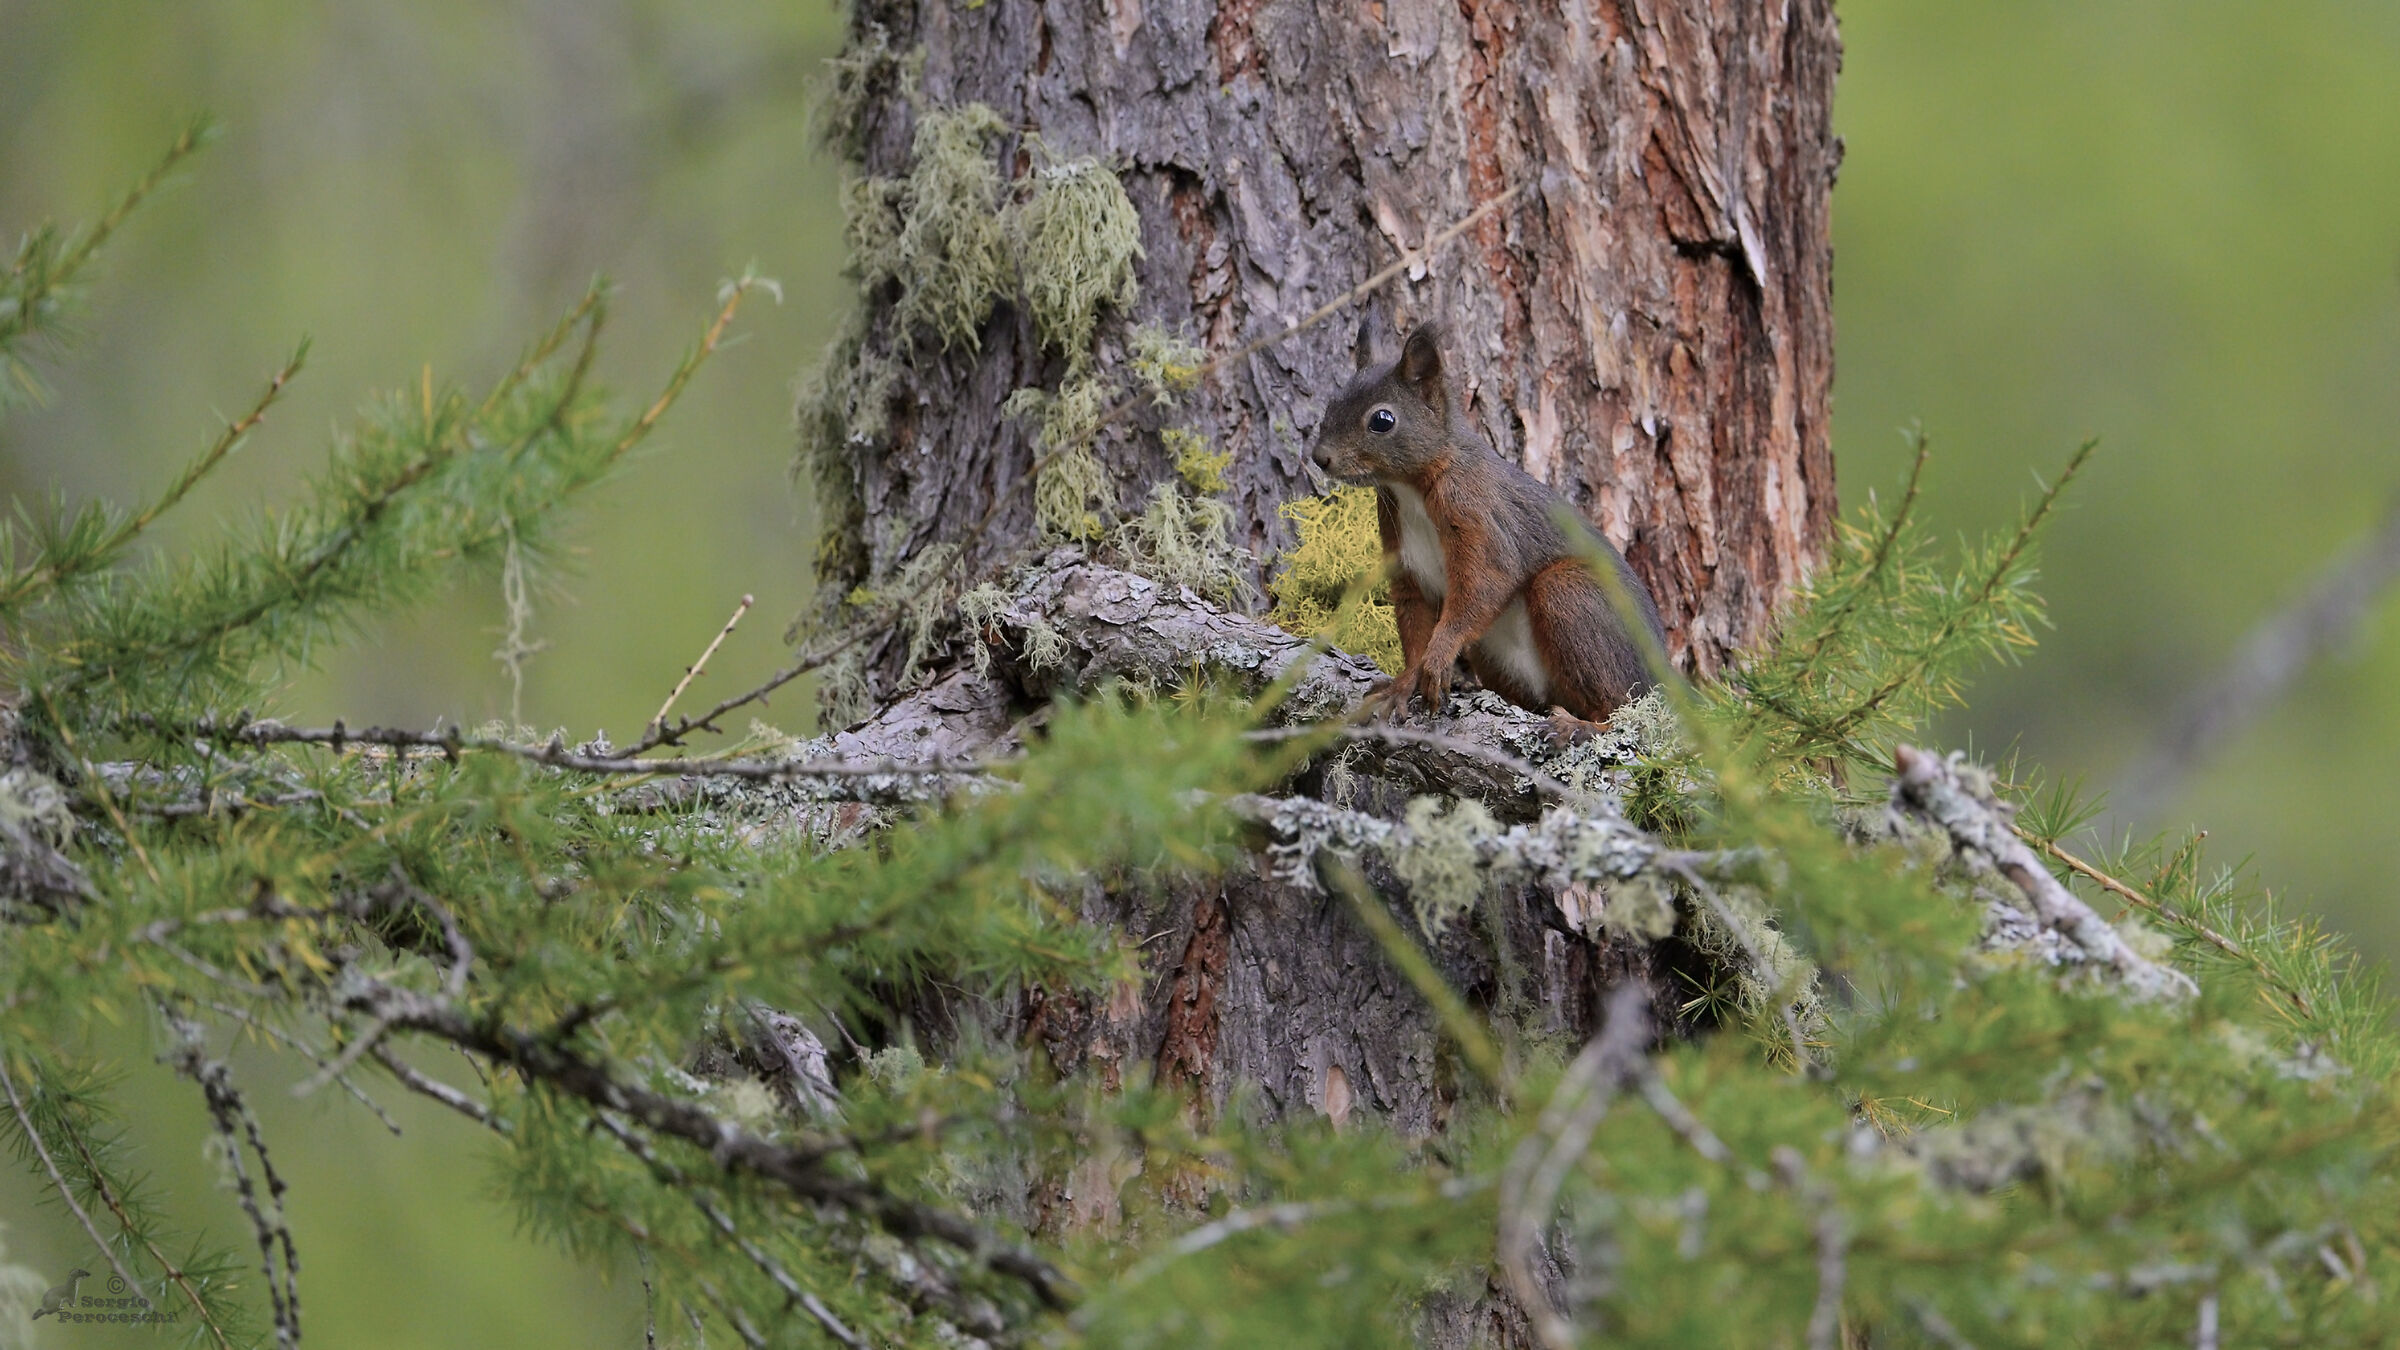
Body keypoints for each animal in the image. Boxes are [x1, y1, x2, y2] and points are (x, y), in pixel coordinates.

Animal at [1309, 320, 1667, 726]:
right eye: (1332, 403)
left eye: (1382, 420)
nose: (1320, 457)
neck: (1412, 488)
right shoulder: (1405, 560)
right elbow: (1415, 625)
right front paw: (1402, 685)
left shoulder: (1476, 510)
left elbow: (1485, 584)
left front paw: (1439, 656)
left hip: (1574, 594)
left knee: (1619, 708)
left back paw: (1576, 728)